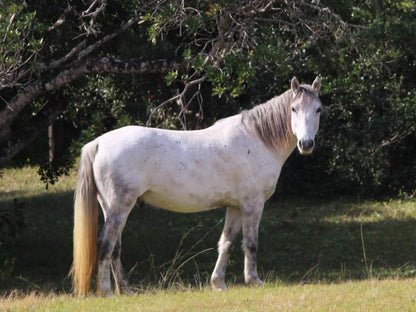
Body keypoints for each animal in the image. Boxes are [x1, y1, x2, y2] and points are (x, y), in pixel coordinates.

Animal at [70, 77, 322, 296]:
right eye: (294, 109)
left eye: (318, 109)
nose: (306, 144)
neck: (258, 139)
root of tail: (99, 142)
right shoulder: (253, 204)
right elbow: (250, 244)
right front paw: (254, 281)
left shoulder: (235, 207)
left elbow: (227, 243)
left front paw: (218, 283)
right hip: (119, 206)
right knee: (105, 245)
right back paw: (106, 291)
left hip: (112, 208)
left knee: (115, 249)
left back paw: (126, 290)